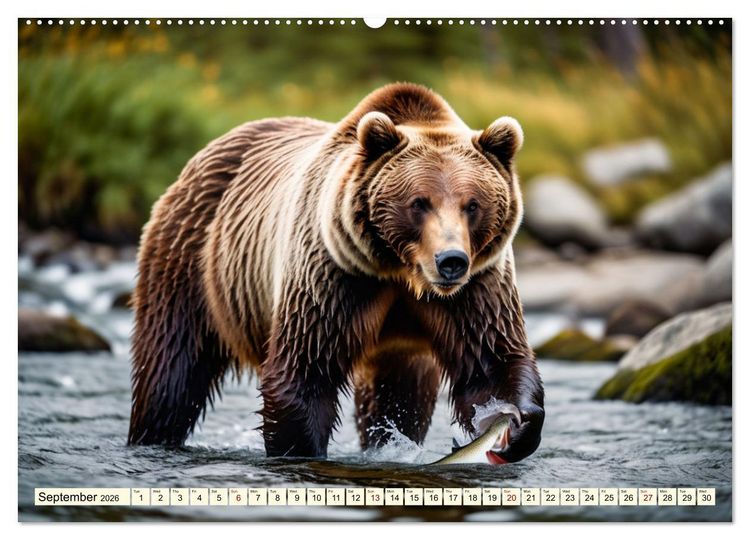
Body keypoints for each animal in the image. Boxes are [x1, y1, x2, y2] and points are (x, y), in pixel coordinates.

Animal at [128, 82, 544, 463]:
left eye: (472, 204)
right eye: (419, 203)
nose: (451, 260)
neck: (400, 271)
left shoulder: (477, 287)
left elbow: (490, 360)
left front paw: (515, 424)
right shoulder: (334, 276)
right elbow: (305, 371)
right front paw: (301, 450)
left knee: (400, 395)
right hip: (193, 260)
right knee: (171, 370)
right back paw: (152, 435)